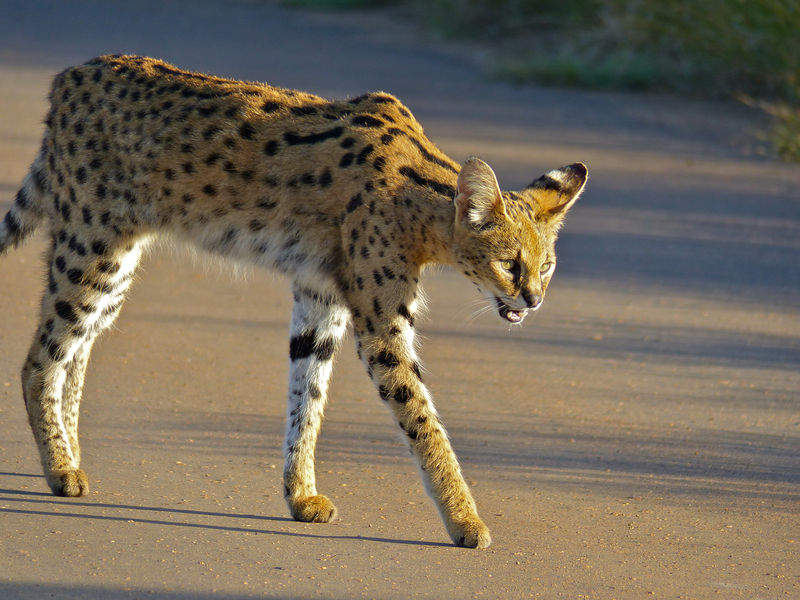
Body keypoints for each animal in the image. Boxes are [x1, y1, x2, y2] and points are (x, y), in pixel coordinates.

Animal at [1, 56, 588, 548]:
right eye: (509, 264)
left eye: (547, 267)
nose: (534, 299)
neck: (421, 210)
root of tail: (70, 75)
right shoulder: (381, 323)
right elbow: (423, 421)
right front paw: (466, 520)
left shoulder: (321, 298)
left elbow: (307, 398)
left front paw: (300, 495)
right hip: (90, 249)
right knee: (37, 359)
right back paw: (59, 467)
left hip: (116, 260)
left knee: (76, 349)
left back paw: (70, 451)